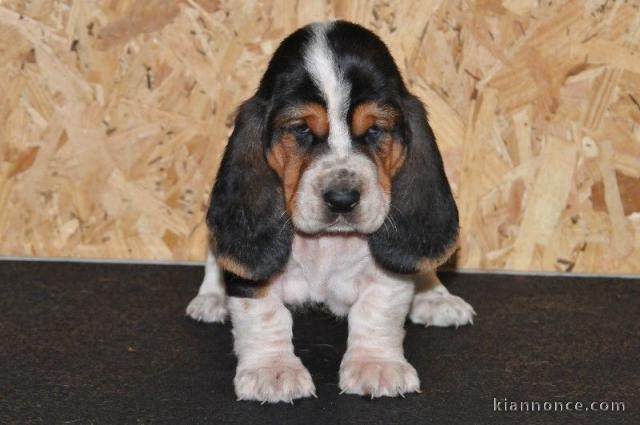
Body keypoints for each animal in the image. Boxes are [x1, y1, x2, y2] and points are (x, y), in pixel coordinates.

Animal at [186, 20, 476, 404]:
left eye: (374, 130)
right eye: (301, 130)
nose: (342, 199)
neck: (328, 242)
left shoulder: (386, 278)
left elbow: (377, 310)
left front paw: (376, 365)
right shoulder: (253, 283)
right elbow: (264, 315)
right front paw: (272, 370)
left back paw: (435, 297)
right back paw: (211, 297)